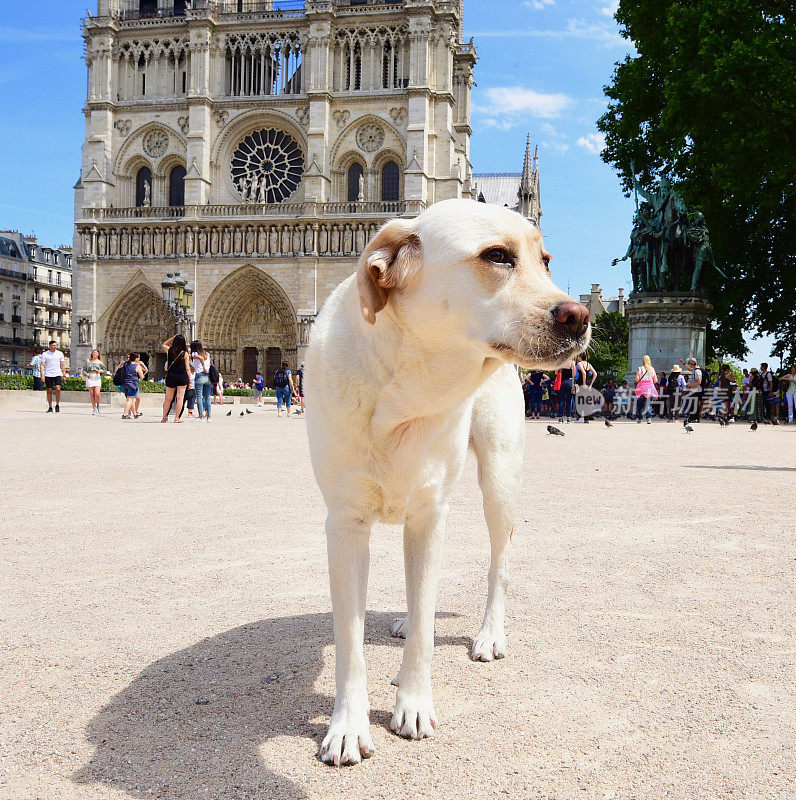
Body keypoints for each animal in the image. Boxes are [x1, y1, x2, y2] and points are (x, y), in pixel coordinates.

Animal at [304, 197, 592, 764]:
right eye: (497, 256)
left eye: (545, 260)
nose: (580, 315)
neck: (406, 395)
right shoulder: (345, 525)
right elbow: (350, 640)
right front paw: (347, 725)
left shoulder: (428, 515)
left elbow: (423, 626)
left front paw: (413, 704)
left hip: (499, 481)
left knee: (499, 563)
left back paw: (489, 635)